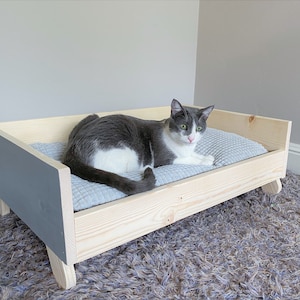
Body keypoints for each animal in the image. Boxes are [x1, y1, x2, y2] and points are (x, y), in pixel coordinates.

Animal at [62, 99, 213, 196]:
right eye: (183, 126)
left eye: (199, 129)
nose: (191, 138)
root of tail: (72, 150)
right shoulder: (164, 159)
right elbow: (187, 159)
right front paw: (205, 161)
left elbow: (194, 154)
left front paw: (207, 156)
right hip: (129, 154)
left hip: (91, 117)